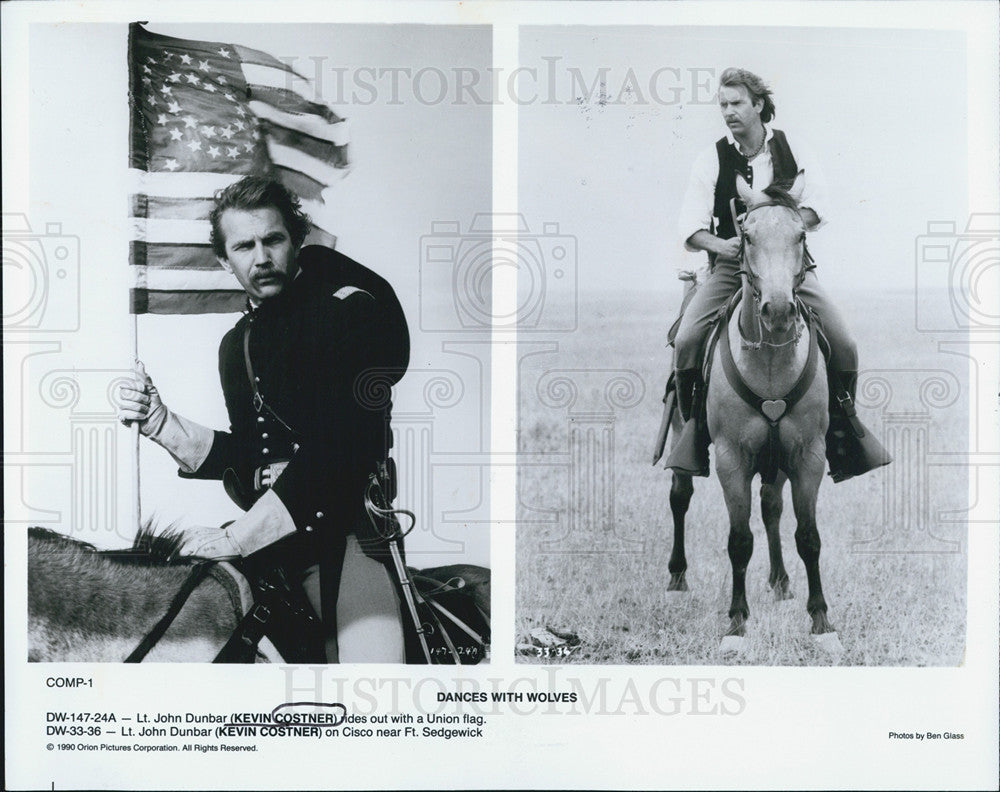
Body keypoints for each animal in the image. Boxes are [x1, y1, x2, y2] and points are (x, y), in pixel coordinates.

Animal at [664, 173, 844, 656]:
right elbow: (739, 540)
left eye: (800, 235)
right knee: (680, 496)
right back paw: (677, 577)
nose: (778, 310)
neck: (770, 361)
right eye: (745, 236)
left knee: (772, 508)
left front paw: (821, 621)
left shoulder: (807, 456)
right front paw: (737, 623)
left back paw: (780, 581)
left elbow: (809, 537)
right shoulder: (732, 459)